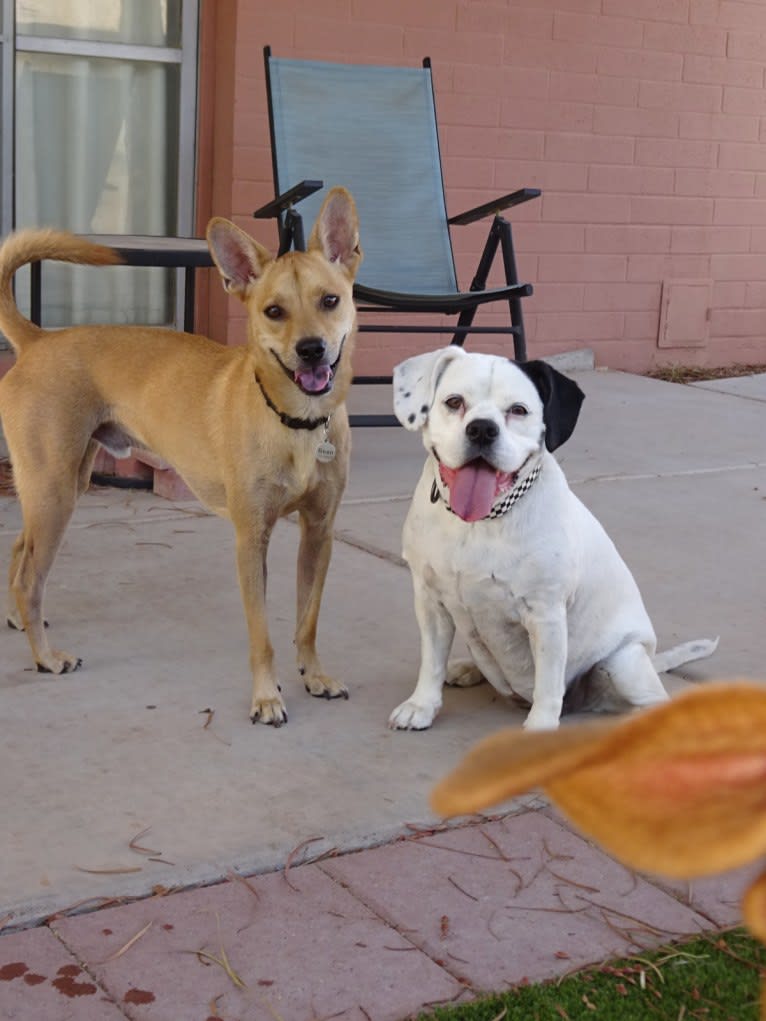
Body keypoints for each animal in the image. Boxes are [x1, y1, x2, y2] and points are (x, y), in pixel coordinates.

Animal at [0, 185, 361, 726]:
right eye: (274, 312)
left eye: (330, 301)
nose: (312, 349)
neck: (294, 423)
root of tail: (38, 340)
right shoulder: (250, 541)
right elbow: (262, 636)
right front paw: (266, 697)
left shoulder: (319, 535)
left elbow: (308, 619)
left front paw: (314, 675)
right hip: (55, 490)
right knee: (30, 577)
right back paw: (45, 656)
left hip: (60, 485)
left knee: (22, 551)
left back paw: (22, 622)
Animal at [390, 351, 719, 735]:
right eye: (454, 402)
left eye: (518, 410)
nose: (482, 429)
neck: (481, 522)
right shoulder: (431, 601)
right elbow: (431, 662)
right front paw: (422, 705)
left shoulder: (545, 614)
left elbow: (547, 685)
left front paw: (539, 730)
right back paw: (467, 668)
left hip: (623, 662)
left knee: (653, 700)